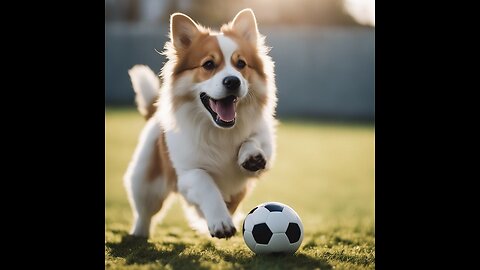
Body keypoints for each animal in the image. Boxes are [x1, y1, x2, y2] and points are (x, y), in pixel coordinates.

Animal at [124, 8, 278, 240]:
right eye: (208, 65)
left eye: (241, 64)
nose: (233, 81)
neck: (220, 131)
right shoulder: (187, 174)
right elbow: (205, 183)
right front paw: (220, 221)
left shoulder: (261, 157)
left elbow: (253, 142)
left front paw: (250, 155)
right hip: (144, 181)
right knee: (145, 212)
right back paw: (139, 234)